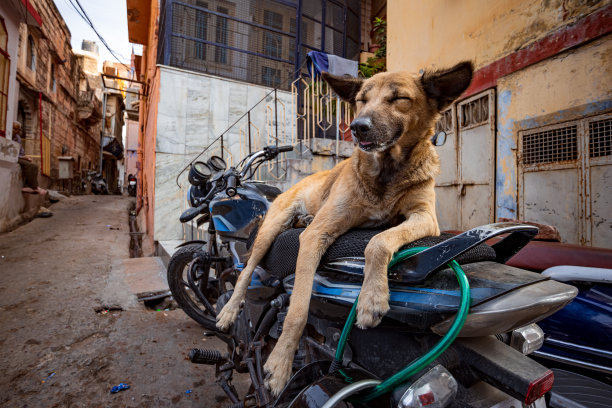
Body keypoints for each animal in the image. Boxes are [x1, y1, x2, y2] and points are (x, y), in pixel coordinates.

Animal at [218, 61, 476, 396]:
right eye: (362, 100)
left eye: (399, 98)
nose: (358, 126)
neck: (387, 172)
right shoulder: (316, 236)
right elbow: (297, 310)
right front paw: (281, 364)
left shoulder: (425, 217)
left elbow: (378, 241)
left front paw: (372, 297)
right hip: (269, 231)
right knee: (246, 272)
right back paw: (228, 312)